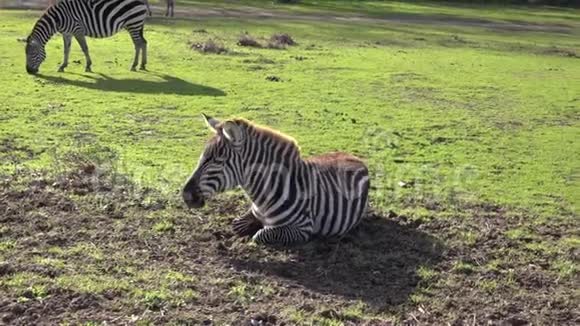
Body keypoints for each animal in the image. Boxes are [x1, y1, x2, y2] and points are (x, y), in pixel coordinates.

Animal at [182, 114, 372, 244]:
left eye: (218, 161)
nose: (185, 195)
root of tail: (354, 157)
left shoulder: (303, 227)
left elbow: (261, 234)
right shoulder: (255, 212)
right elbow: (237, 224)